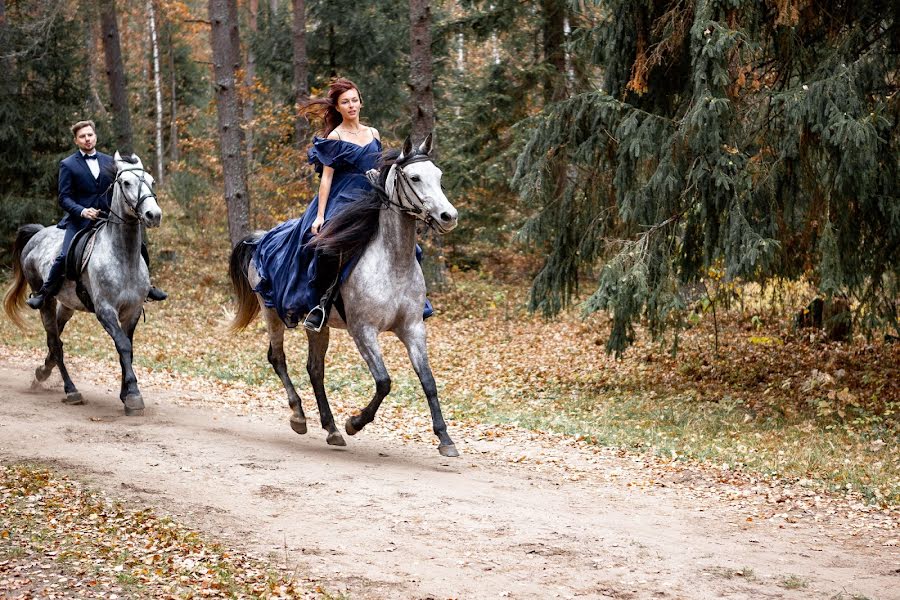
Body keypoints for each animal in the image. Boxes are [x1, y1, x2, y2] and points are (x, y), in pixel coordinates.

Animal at [4, 152, 163, 414]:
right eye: (126, 183)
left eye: (152, 181)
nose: (154, 215)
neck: (123, 256)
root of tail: (37, 234)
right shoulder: (105, 310)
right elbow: (123, 345)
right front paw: (132, 395)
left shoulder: (132, 311)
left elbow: (128, 348)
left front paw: (126, 393)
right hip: (45, 300)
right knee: (55, 343)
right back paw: (71, 390)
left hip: (66, 305)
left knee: (55, 341)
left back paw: (42, 373)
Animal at [229, 135, 460, 454]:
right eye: (414, 177)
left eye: (438, 176)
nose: (449, 217)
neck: (393, 262)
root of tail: (260, 238)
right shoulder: (363, 330)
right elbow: (384, 381)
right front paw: (355, 422)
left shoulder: (413, 328)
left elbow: (428, 380)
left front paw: (445, 438)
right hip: (271, 311)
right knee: (277, 358)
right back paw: (299, 415)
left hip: (317, 324)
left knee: (315, 369)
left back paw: (331, 428)